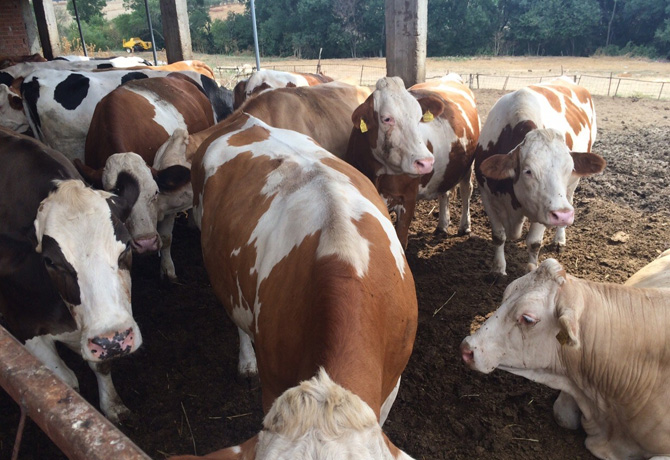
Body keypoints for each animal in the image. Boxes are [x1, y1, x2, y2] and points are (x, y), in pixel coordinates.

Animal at [0, 125, 142, 420]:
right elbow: (63, 384)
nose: (113, 341)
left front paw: (112, 407)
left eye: (125, 248)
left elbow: (101, 366)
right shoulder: (23, 327)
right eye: (50, 262)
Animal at [168, 112, 418, 460]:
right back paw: (245, 361)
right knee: (239, 318)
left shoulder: (391, 386)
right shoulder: (273, 383)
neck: (343, 256)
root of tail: (242, 118)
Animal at [346, 74, 484, 248]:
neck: (379, 174)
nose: (426, 162)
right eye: (387, 119)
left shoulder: (408, 199)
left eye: (419, 118)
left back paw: (465, 226)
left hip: (468, 165)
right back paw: (442, 225)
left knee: (466, 190)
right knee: (444, 191)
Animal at [472, 77, 608, 278]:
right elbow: (498, 235)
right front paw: (498, 268)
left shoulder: (543, 209)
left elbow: (534, 242)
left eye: (570, 168)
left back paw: (559, 239)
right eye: (528, 171)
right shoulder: (487, 195)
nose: (563, 215)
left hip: (570, 190)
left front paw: (532, 269)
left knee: (568, 199)